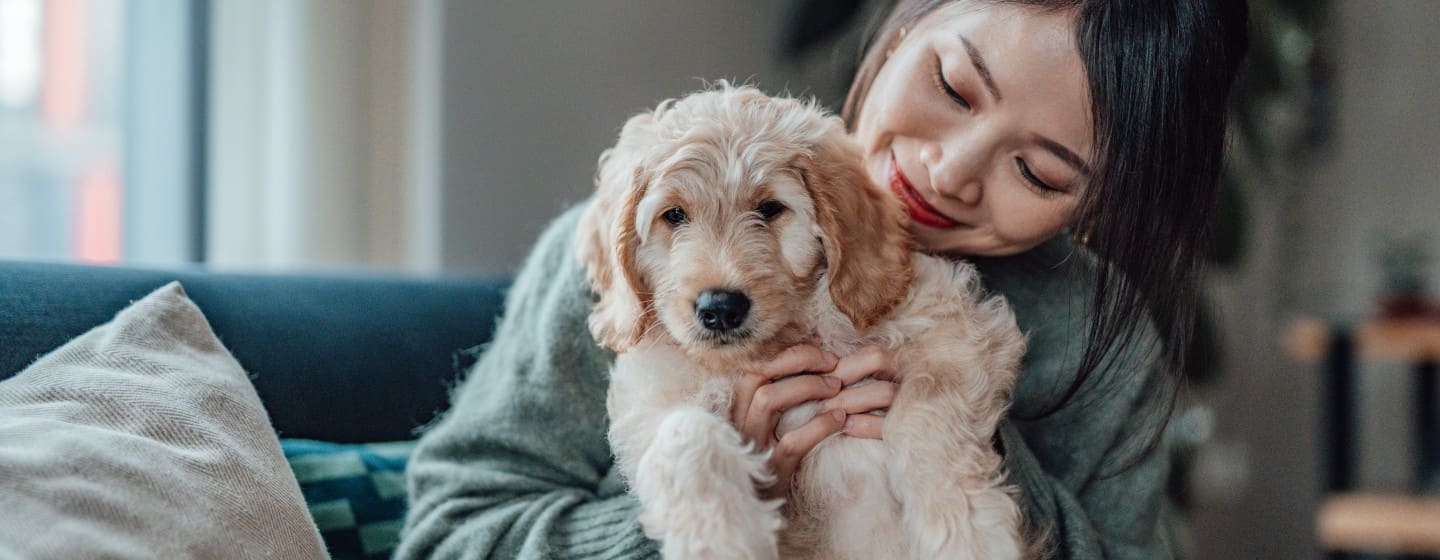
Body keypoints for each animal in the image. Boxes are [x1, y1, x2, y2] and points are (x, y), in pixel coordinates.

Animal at [573, 83, 1025, 558]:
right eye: (674, 215)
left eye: (770, 208)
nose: (721, 307)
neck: (782, 338)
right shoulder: (646, 409)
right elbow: (686, 432)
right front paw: (723, 537)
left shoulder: (956, 330)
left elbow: (924, 412)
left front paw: (968, 534)